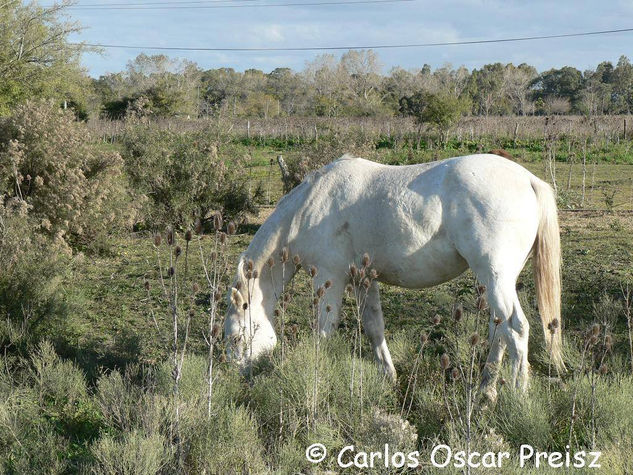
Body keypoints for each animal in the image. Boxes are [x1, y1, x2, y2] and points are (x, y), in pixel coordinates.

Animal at [223, 153, 564, 398]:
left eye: (237, 337)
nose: (238, 379)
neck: (309, 207)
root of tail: (528, 180)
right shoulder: (363, 280)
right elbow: (374, 327)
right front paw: (388, 376)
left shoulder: (328, 279)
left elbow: (324, 332)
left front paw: (315, 375)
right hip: (493, 281)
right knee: (500, 332)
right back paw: (485, 391)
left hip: (495, 277)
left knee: (516, 330)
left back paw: (515, 397)